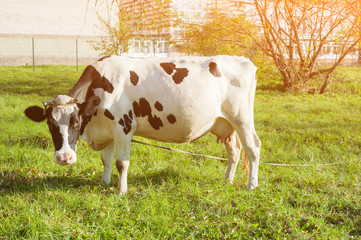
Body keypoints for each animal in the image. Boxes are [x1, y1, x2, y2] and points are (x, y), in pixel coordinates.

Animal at [25, 55, 260, 194]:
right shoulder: (107, 130)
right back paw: (228, 181)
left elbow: (121, 163)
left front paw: (121, 191)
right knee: (234, 151)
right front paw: (104, 183)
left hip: (242, 119)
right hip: (225, 123)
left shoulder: (123, 127)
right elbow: (106, 160)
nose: (64, 158)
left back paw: (251, 185)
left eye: (75, 122)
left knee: (253, 148)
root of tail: (243, 60)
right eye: (50, 124)